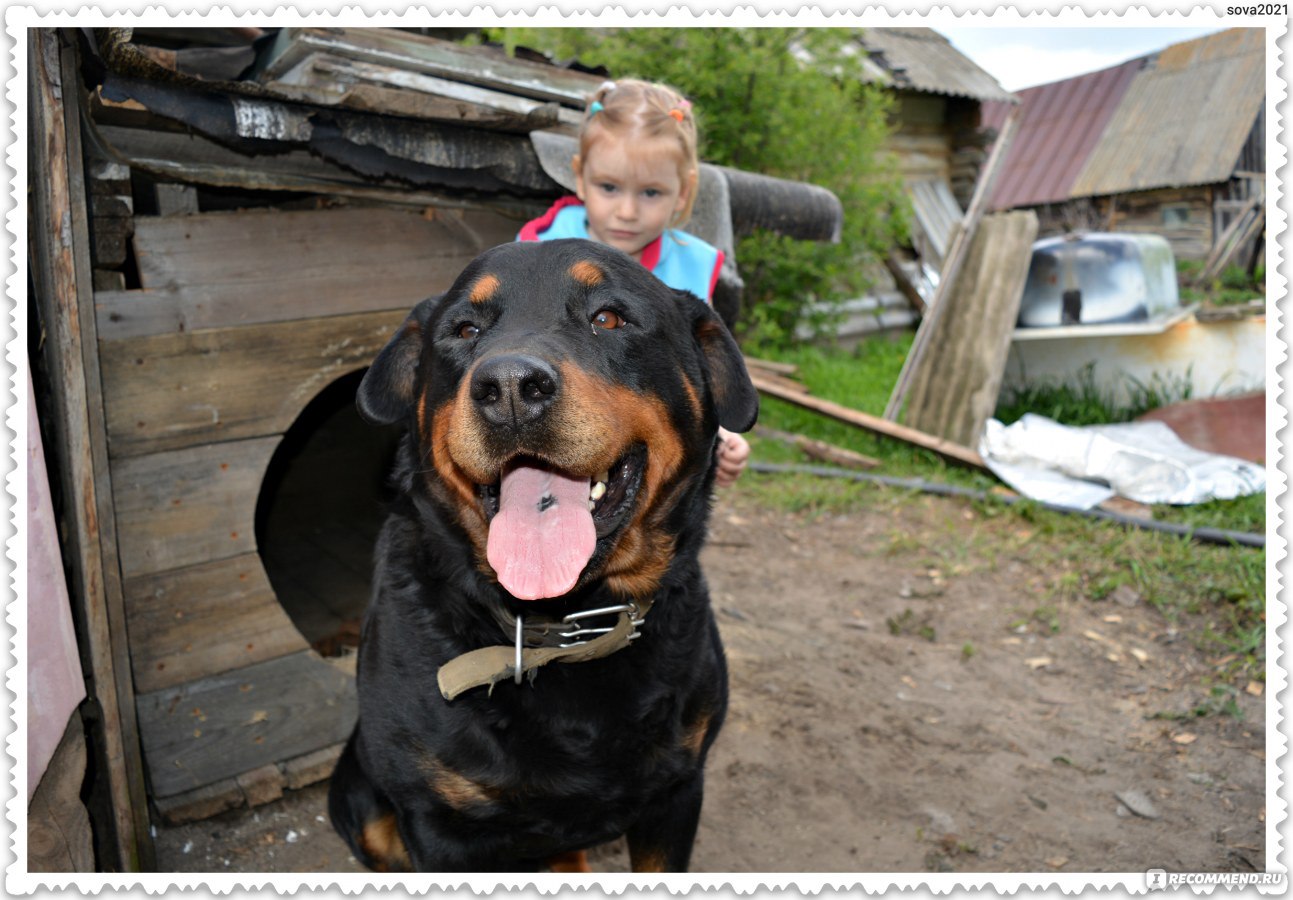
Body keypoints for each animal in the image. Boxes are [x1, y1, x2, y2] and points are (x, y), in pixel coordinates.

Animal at [328, 239, 755, 874]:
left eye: (609, 318)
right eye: (465, 329)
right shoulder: (437, 823)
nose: (508, 386)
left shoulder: (678, 792)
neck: (567, 627)